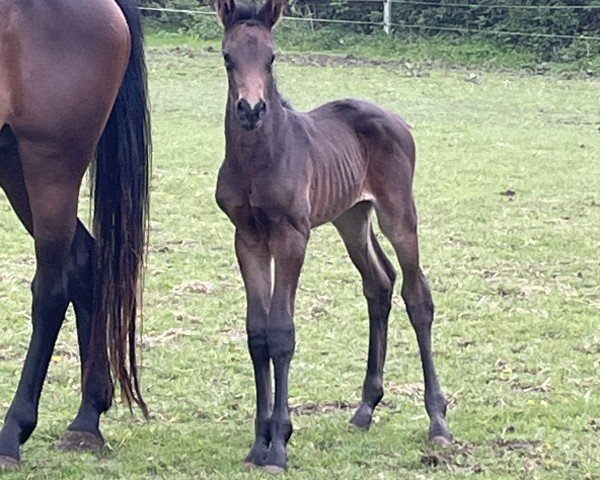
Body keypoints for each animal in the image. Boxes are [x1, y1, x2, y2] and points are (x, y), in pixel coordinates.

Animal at [214, 0, 450, 472]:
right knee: (379, 283)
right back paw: (364, 409)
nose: (251, 109)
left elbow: (281, 333)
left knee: (417, 294)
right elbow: (257, 333)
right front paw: (258, 444)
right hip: (352, 218)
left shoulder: (292, 236)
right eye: (228, 57)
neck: (258, 160)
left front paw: (279, 446)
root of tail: (396, 118)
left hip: (398, 213)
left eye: (272, 57)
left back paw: (438, 420)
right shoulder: (247, 237)